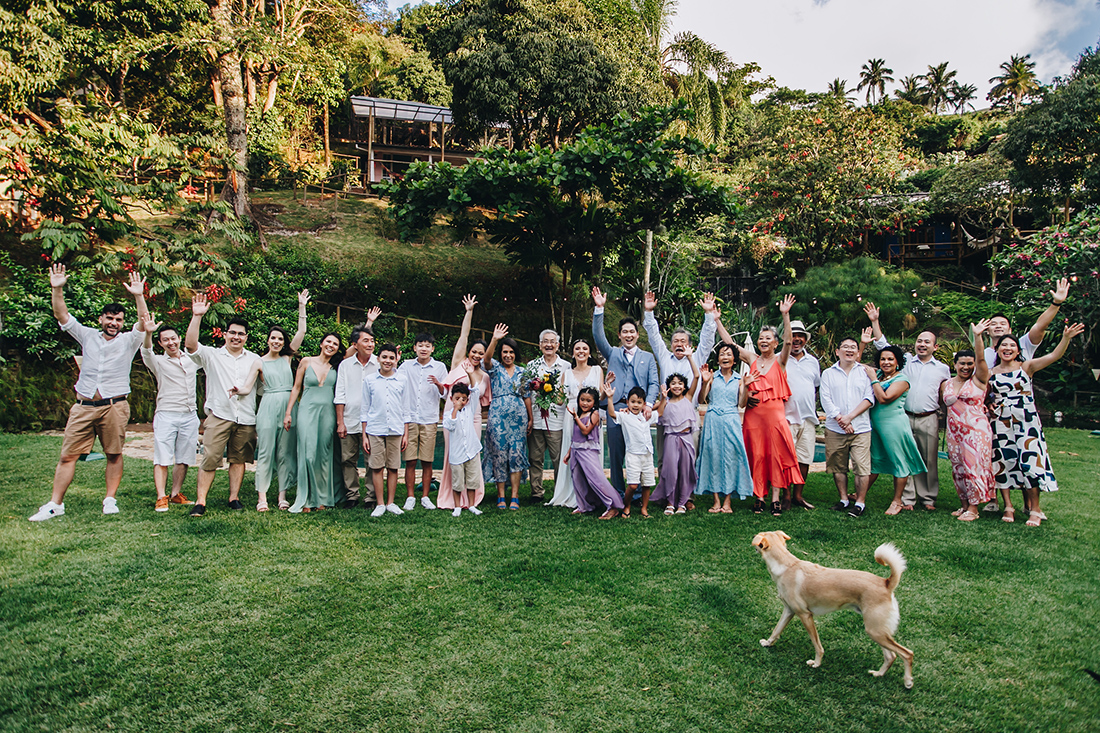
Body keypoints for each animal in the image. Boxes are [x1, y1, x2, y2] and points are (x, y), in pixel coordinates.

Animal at [752, 528, 915, 686]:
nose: (752, 538)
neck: (786, 565)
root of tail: (886, 583)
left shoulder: (805, 615)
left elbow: (817, 645)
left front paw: (816, 663)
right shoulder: (789, 611)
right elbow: (776, 631)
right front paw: (767, 643)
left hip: (875, 631)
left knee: (907, 654)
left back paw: (907, 681)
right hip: (878, 631)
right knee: (891, 656)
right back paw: (878, 674)